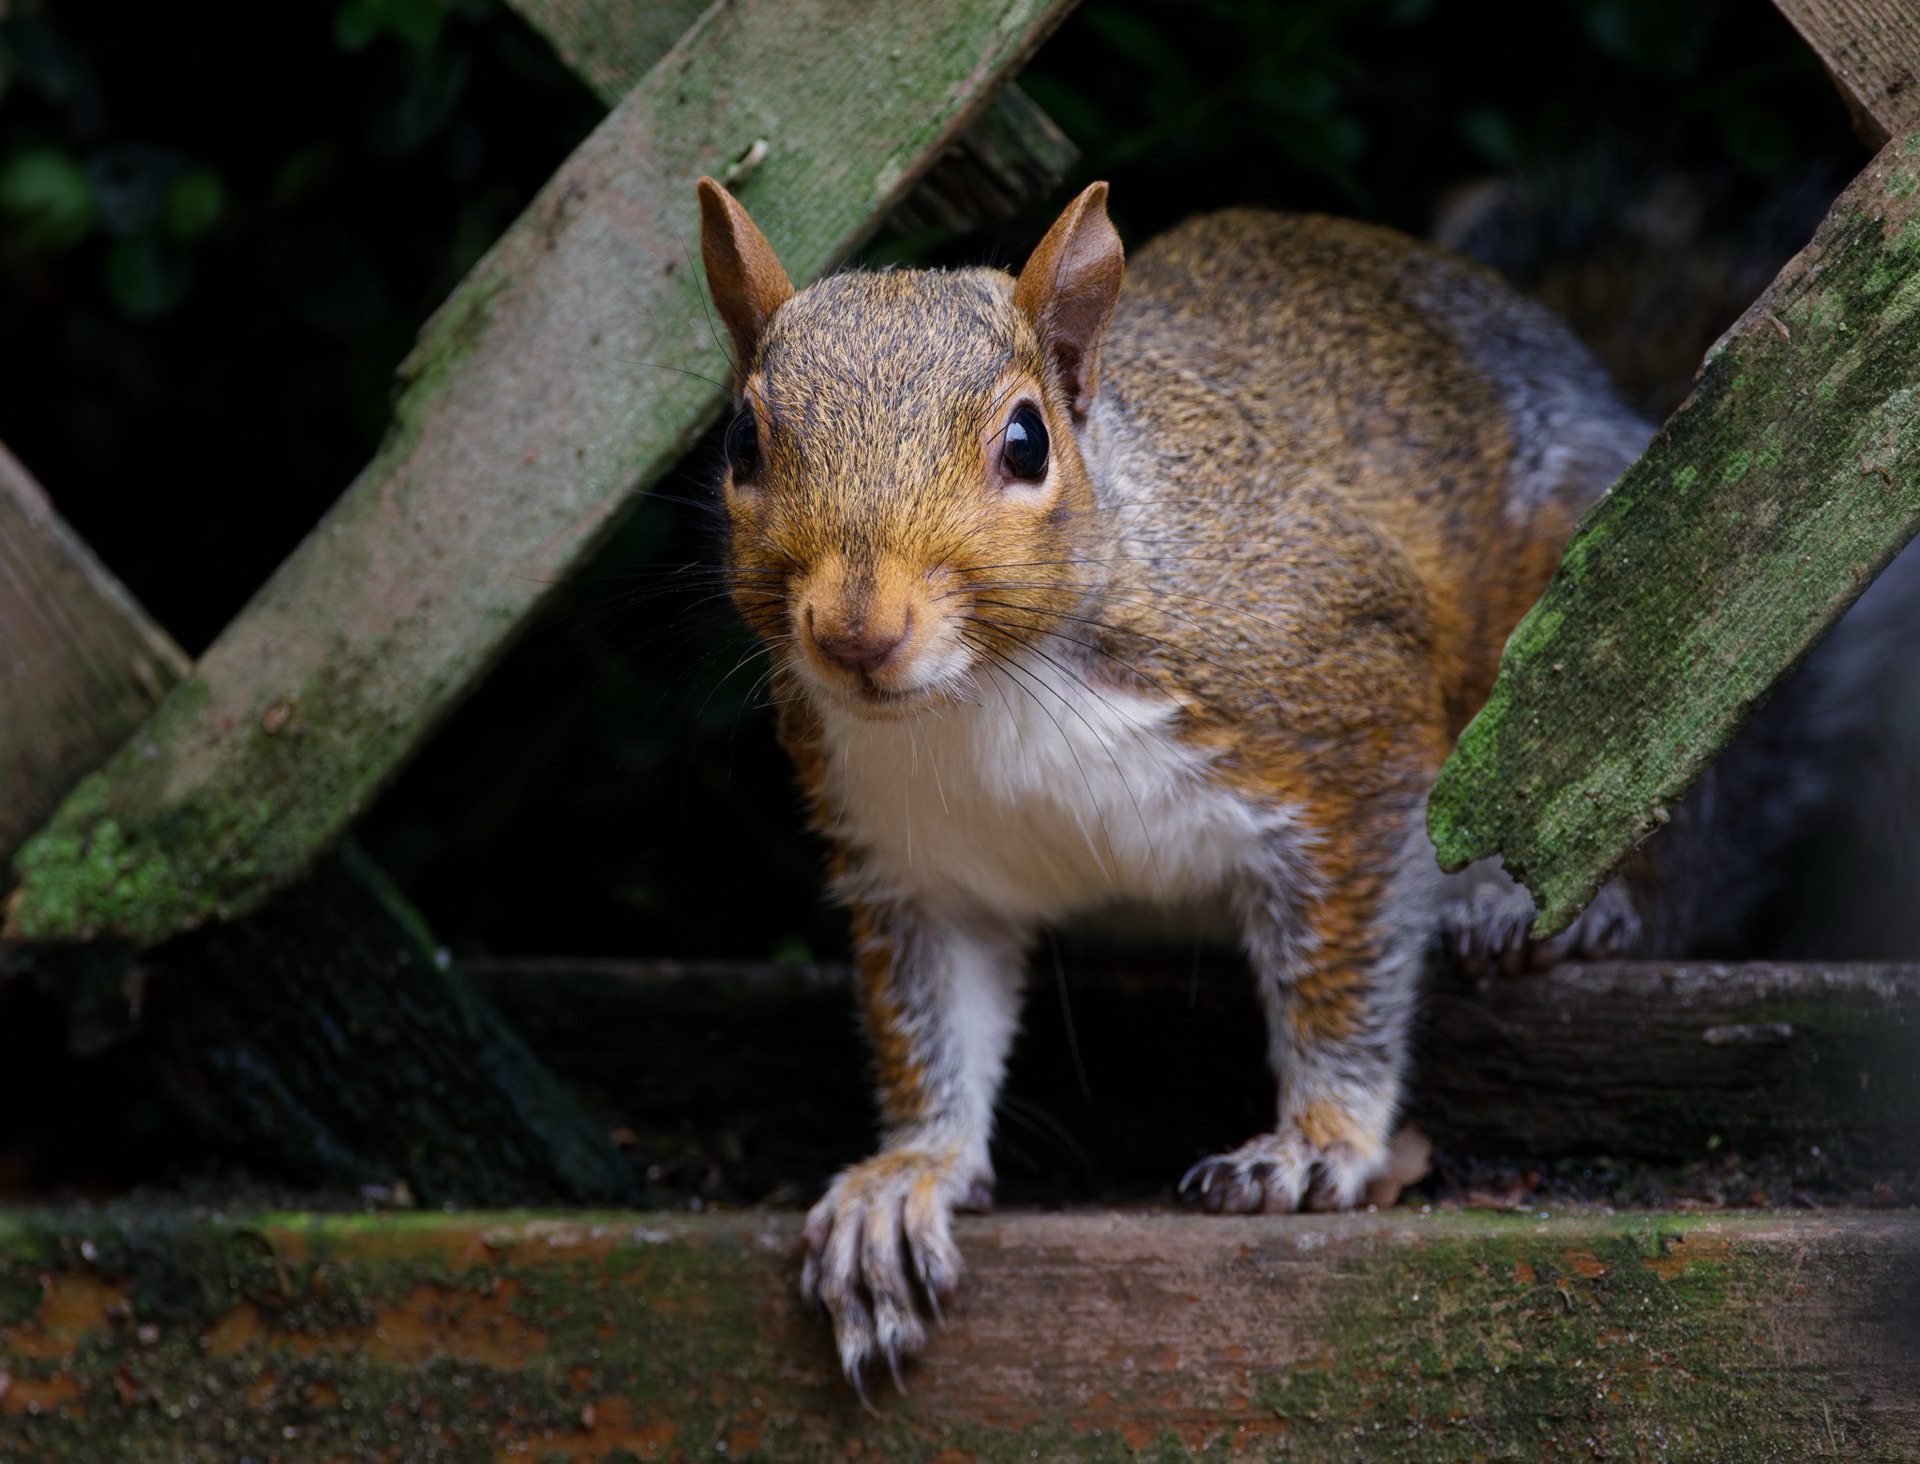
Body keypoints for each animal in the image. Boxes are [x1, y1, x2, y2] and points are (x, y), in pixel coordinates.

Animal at [696, 175, 1651, 1384]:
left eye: (1026, 442)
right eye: (743, 441)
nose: (856, 633)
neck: (994, 691)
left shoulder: (1345, 733)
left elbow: (1348, 963)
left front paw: (1318, 1143)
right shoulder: (918, 867)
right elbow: (934, 1017)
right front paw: (908, 1178)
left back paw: (1538, 905)